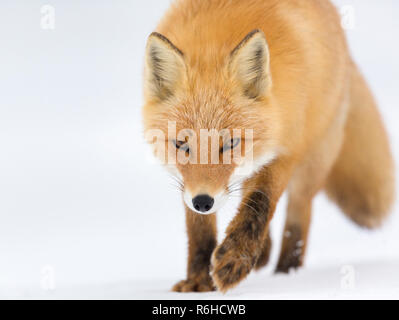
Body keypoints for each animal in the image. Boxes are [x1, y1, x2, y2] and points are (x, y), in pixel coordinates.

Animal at [142, 0, 396, 292]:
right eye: (181, 144)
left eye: (230, 143)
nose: (204, 201)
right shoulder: (188, 183)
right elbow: (199, 229)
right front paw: (198, 281)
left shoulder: (286, 150)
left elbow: (260, 203)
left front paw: (235, 260)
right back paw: (263, 255)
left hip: (312, 163)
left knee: (298, 220)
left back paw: (287, 273)